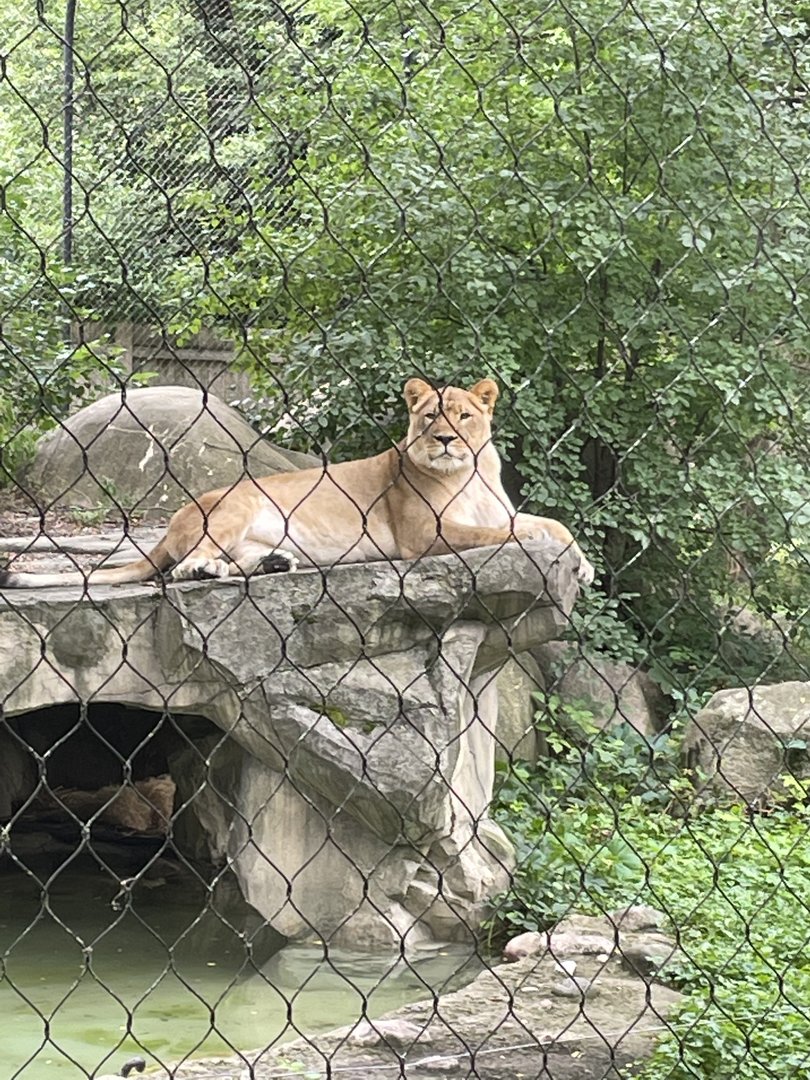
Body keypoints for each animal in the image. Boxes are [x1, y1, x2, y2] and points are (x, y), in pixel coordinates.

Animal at [0, 377, 593, 588]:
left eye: (464, 416)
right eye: (429, 417)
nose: (446, 439)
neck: (467, 474)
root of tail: (174, 522)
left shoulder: (499, 510)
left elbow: (552, 522)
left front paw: (584, 565)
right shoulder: (426, 536)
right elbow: (507, 534)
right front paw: (553, 551)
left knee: (227, 561)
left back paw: (273, 563)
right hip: (234, 507)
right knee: (184, 565)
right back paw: (209, 570)